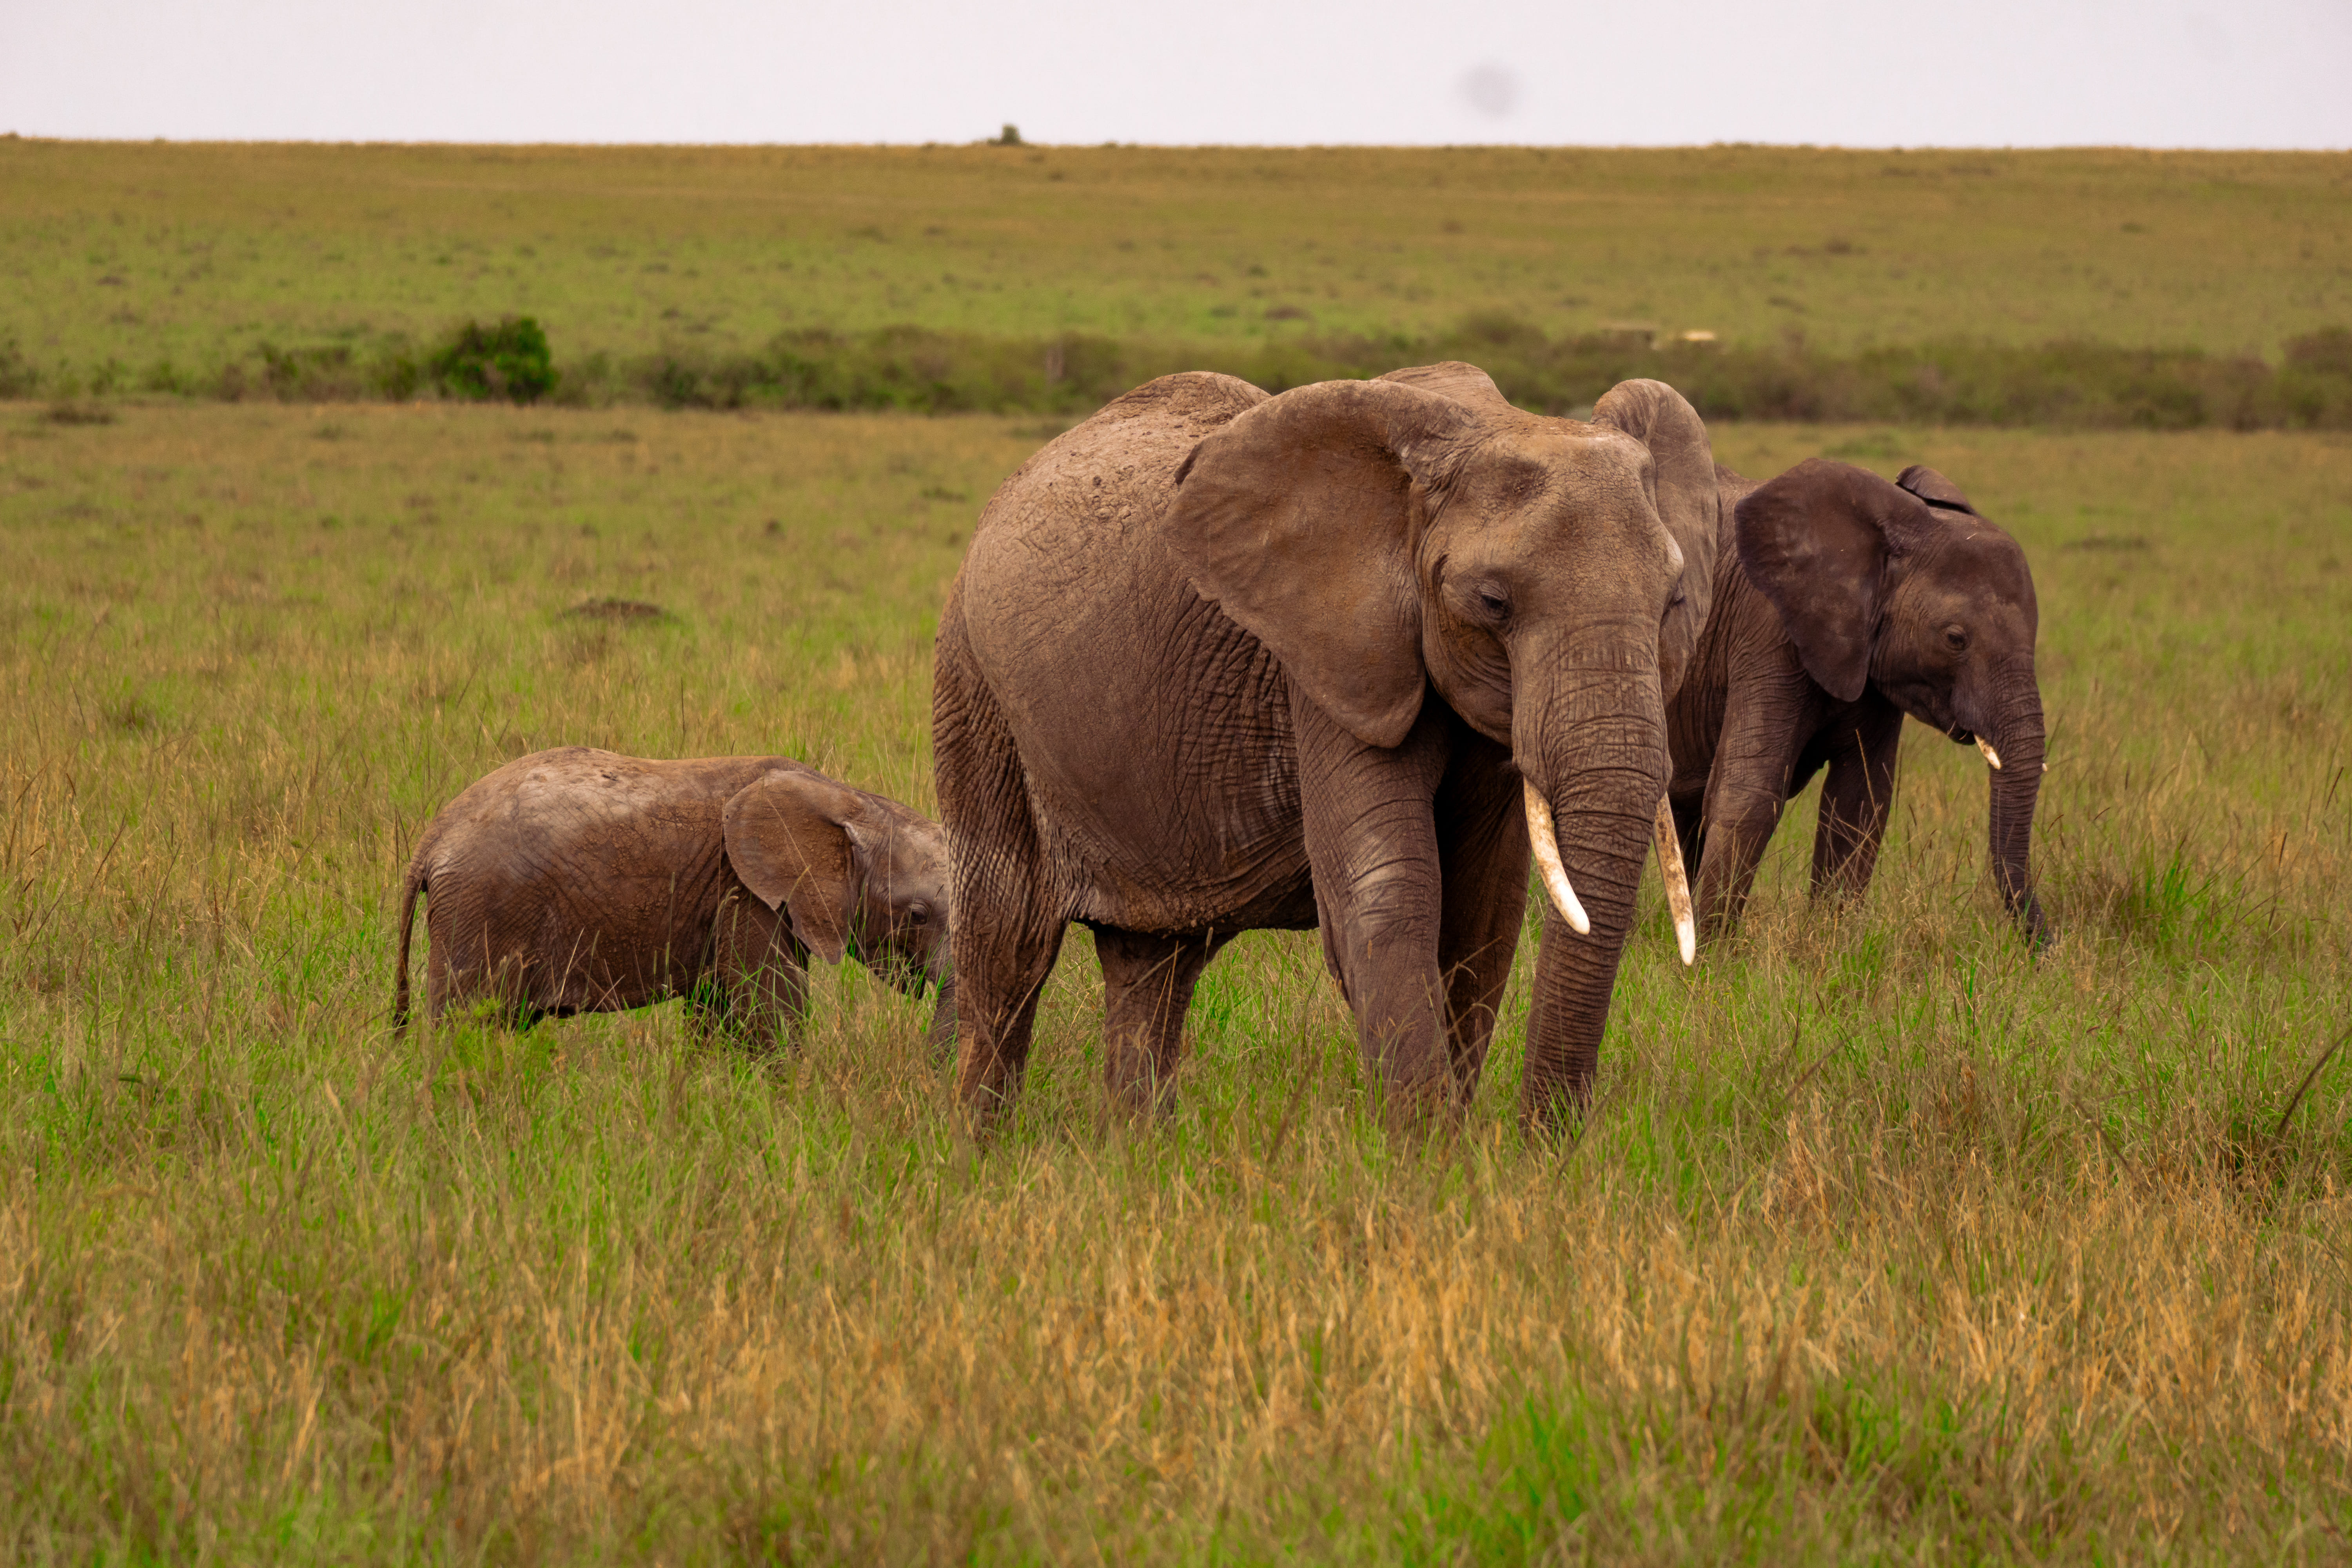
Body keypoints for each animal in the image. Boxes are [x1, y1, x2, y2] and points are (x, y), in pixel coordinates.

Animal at [395, 752, 955, 1048]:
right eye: (917, 916)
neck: (850, 802)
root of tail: (432, 839)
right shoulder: (745, 892)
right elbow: (773, 1015)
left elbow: (716, 1015)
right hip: (482, 910)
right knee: (466, 1031)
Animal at [927, 367, 1722, 1128]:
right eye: (1493, 603)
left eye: (1674, 602)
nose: (1544, 1139)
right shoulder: (1329, 662)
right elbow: (1388, 891)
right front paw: (1433, 1157)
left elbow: (1482, 918)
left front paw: (1473, 1156)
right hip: (975, 687)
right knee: (1009, 945)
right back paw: (979, 1150)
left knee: (1156, 964)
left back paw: (1134, 1151)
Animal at [1665, 456, 2051, 945]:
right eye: (1955, 639)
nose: (2046, 948)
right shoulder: (1769, 633)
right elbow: (1750, 791)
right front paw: (1714, 957)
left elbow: (1860, 803)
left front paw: (1827, 946)